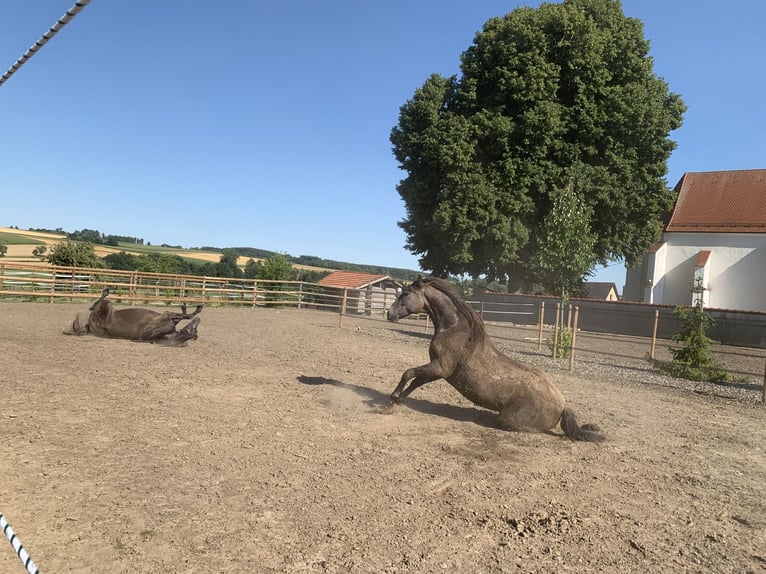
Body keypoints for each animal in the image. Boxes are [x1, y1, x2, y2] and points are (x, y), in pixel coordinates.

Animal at [390, 276, 608, 444]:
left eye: (406, 294)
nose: (389, 313)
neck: (454, 329)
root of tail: (562, 406)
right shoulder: (438, 371)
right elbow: (415, 382)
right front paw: (397, 401)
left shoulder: (440, 368)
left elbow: (407, 373)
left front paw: (391, 400)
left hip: (509, 419)